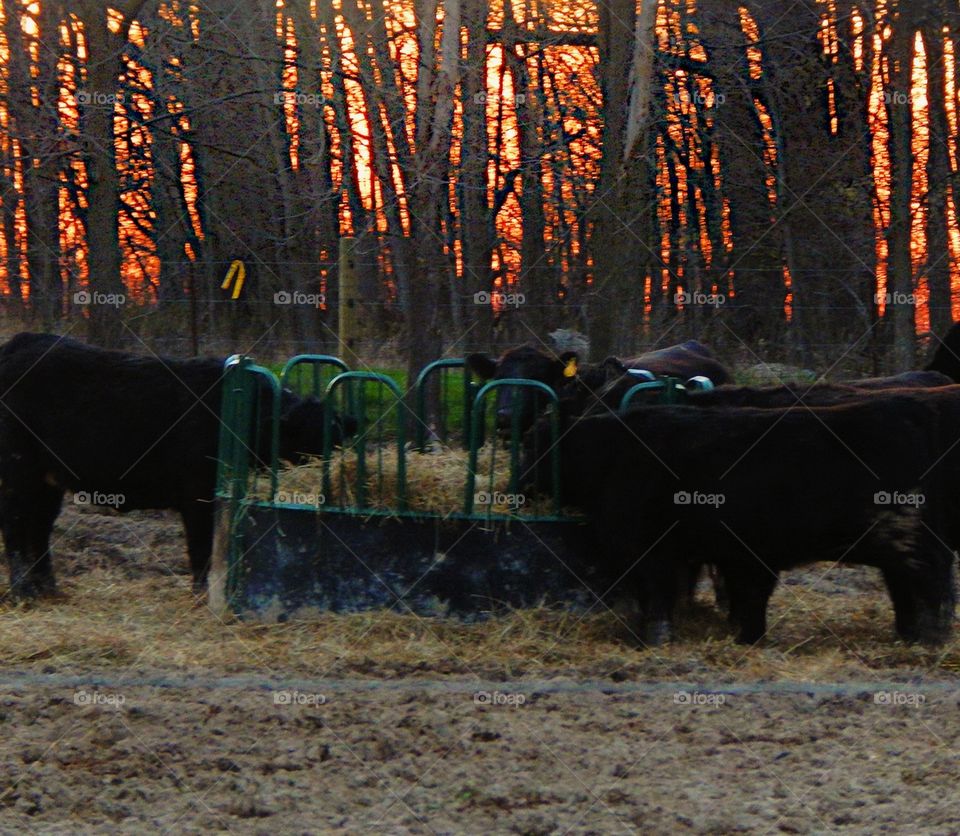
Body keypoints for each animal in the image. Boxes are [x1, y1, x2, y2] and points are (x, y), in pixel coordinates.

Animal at [0, 333, 355, 600]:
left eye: (337, 438)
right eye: (309, 441)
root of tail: (22, 342)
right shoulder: (198, 497)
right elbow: (201, 550)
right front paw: (201, 594)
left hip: (47, 482)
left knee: (38, 529)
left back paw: (48, 589)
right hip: (18, 473)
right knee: (15, 527)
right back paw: (23, 592)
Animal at [521, 395, 956, 647]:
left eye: (533, 445)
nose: (519, 484)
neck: (612, 454)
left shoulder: (651, 551)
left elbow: (659, 598)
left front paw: (655, 640)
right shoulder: (739, 556)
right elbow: (747, 603)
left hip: (906, 534)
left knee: (931, 581)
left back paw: (931, 640)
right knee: (907, 588)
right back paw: (910, 637)